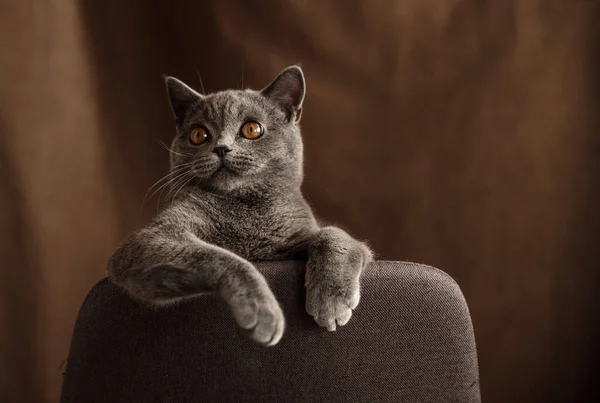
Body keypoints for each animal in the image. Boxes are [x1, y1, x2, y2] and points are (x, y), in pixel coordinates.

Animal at [107, 66, 370, 348]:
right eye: (199, 134)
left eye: (252, 129)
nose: (221, 148)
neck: (246, 207)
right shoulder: (151, 238)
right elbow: (225, 258)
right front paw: (263, 311)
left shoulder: (298, 236)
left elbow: (334, 235)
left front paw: (330, 302)